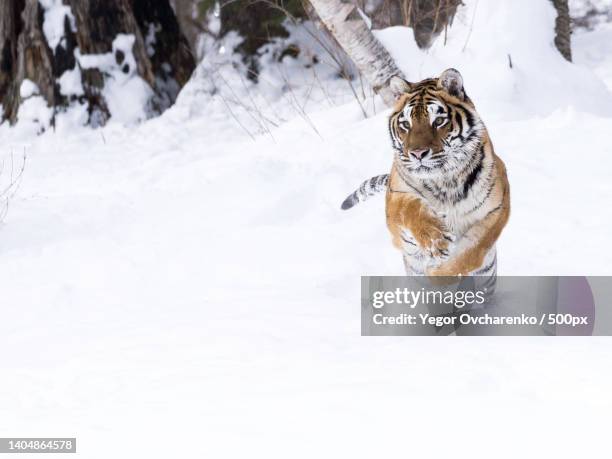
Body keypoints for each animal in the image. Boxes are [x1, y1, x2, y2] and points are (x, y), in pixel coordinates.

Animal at [342, 68, 510, 280]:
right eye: (406, 124)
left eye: (438, 121)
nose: (418, 154)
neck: (445, 180)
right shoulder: (395, 197)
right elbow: (410, 208)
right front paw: (435, 240)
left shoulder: (498, 207)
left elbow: (472, 250)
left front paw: (438, 273)